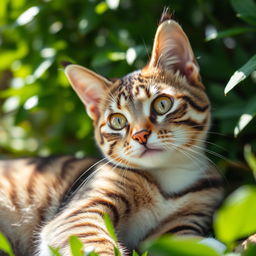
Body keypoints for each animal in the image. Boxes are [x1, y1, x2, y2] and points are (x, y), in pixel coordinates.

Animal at [0, 10, 226, 256]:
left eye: (162, 104)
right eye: (118, 121)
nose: (140, 135)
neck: (168, 181)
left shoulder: (183, 219)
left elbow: (180, 239)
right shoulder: (78, 214)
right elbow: (93, 242)